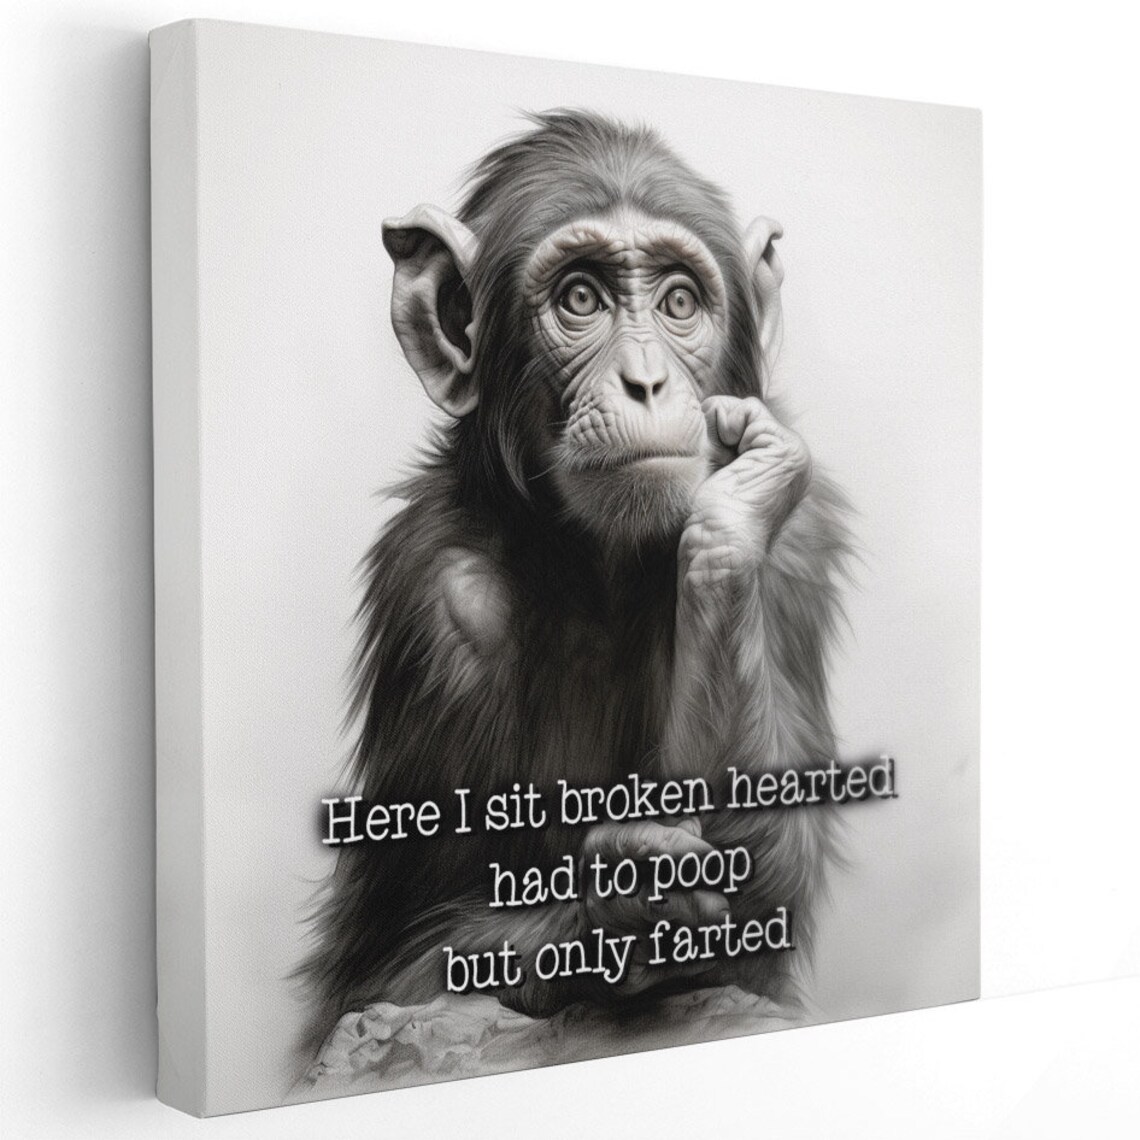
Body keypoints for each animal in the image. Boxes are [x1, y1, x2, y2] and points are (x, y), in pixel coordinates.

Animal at [300, 110, 850, 1058]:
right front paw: (628, 895)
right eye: (581, 299)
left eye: (678, 302)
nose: (647, 381)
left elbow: (765, 893)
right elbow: (400, 964)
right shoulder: (438, 599)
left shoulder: (793, 562)